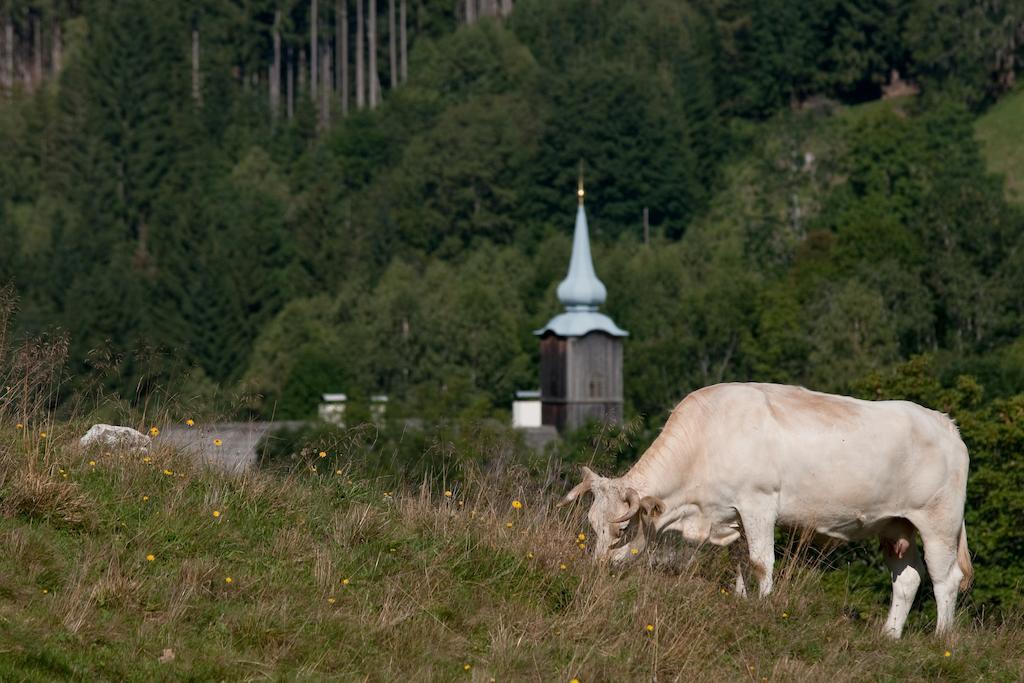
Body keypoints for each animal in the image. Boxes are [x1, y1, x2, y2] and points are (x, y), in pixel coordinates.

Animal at [557, 382, 970, 638]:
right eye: (592, 525)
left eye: (623, 529)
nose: (596, 570)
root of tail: (945, 424)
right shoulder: (731, 514)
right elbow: (739, 561)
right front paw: (741, 600)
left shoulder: (758, 502)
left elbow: (760, 562)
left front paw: (766, 607)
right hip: (895, 526)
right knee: (908, 578)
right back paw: (889, 635)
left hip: (939, 521)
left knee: (945, 579)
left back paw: (942, 639)